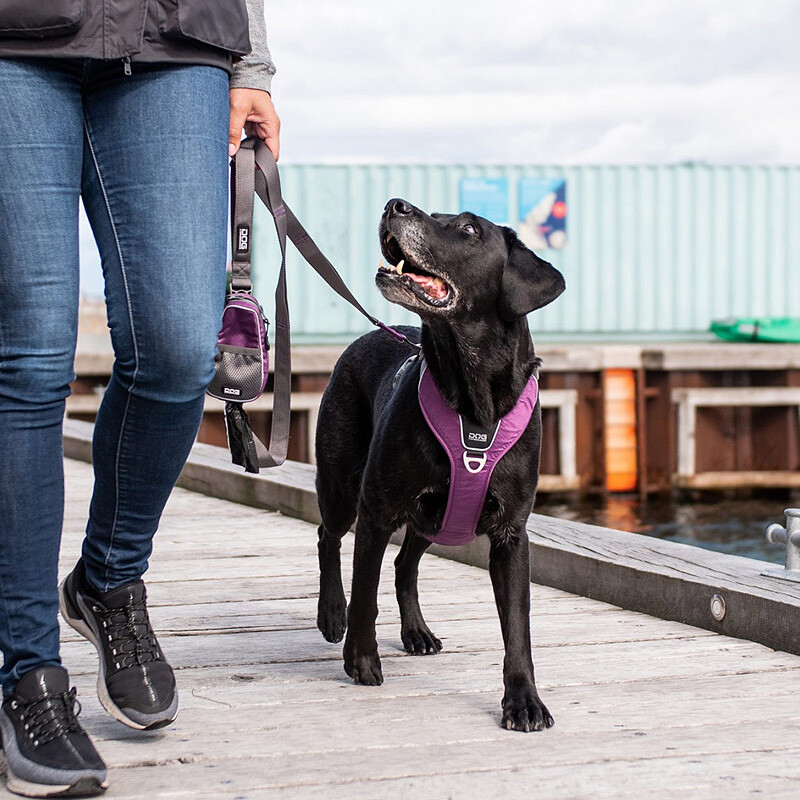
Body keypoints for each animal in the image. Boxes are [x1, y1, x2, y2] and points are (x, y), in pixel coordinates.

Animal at [316, 198, 564, 732]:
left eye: (469, 229)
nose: (395, 205)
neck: (473, 400)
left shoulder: (511, 533)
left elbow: (518, 627)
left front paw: (524, 701)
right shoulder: (376, 511)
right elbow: (365, 592)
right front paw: (361, 659)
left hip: (436, 520)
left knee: (404, 564)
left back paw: (417, 632)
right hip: (343, 485)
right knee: (330, 537)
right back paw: (331, 614)